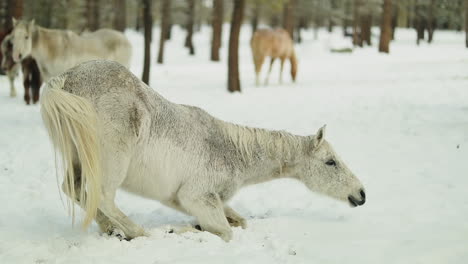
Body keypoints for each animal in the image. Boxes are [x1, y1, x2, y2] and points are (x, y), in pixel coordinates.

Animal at [40, 60, 368, 241]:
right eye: (331, 162)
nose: (361, 194)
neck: (231, 151)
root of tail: (66, 79)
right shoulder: (197, 196)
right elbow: (226, 231)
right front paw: (179, 231)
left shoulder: (184, 199)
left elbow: (238, 222)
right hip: (112, 159)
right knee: (101, 195)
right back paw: (138, 232)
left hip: (77, 156)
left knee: (77, 191)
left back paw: (114, 230)